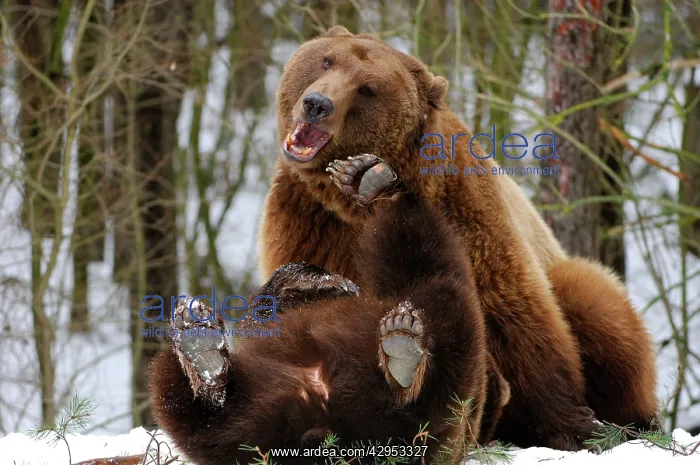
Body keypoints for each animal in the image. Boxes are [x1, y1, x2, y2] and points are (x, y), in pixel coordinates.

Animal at [148, 164, 512, 465]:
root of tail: (330, 426)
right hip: (257, 419)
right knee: (194, 411)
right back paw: (201, 353)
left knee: (442, 300)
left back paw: (403, 357)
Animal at [258, 25, 659, 451]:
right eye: (326, 60)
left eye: (367, 88)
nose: (317, 103)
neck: (354, 208)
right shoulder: (311, 220)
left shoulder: (465, 212)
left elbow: (511, 312)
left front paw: (574, 424)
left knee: (594, 301)